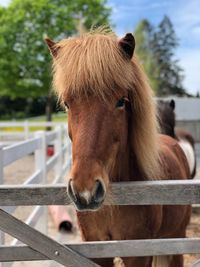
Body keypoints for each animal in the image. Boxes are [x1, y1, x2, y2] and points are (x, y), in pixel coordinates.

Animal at [45, 29, 191, 267]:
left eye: (121, 101)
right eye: (67, 104)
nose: (85, 191)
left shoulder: (138, 255)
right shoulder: (97, 250)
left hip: (176, 240)